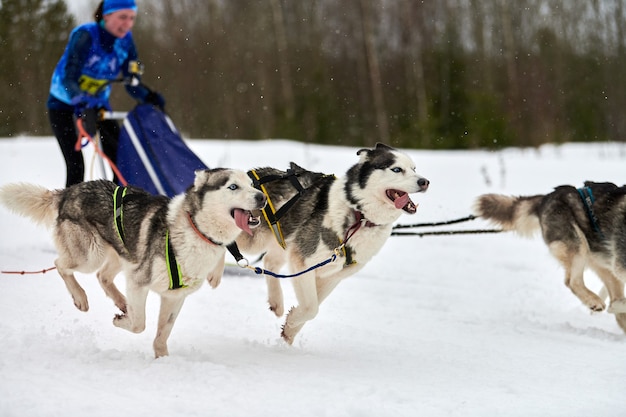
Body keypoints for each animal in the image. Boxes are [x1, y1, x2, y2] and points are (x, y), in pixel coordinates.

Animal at [0, 169, 266, 358]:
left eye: (251, 184)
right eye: (233, 186)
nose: (262, 196)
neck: (196, 231)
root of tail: (68, 191)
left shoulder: (174, 297)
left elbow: (162, 334)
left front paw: (163, 360)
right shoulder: (139, 282)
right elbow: (139, 325)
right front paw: (122, 321)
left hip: (122, 254)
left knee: (103, 276)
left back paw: (121, 301)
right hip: (91, 256)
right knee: (61, 264)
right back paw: (81, 298)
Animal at [235, 141, 428, 342]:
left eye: (414, 168)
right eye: (397, 169)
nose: (424, 182)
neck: (359, 215)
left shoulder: (332, 276)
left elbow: (313, 308)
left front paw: (290, 329)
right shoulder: (302, 261)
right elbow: (311, 308)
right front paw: (294, 320)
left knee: (269, 261)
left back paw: (277, 302)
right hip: (253, 240)